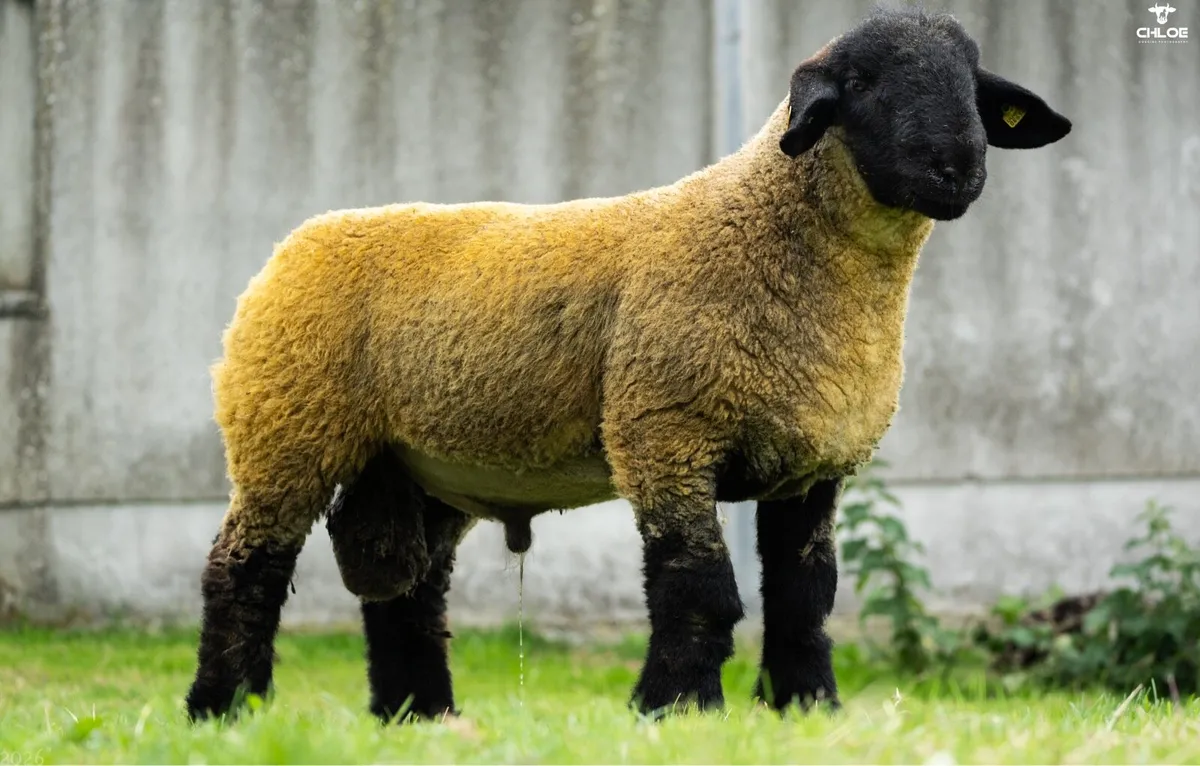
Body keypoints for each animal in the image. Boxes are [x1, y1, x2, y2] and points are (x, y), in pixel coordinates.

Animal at [184, 5, 1071, 724]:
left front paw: (806, 708)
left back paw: (421, 719)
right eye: (860, 81)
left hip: (416, 467)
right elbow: (699, 587)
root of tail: (298, 239)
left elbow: (804, 598)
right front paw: (676, 710)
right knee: (245, 570)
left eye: (972, 83)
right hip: (284, 425)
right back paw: (225, 711)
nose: (957, 168)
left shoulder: (812, 466)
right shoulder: (665, 431)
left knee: (407, 597)